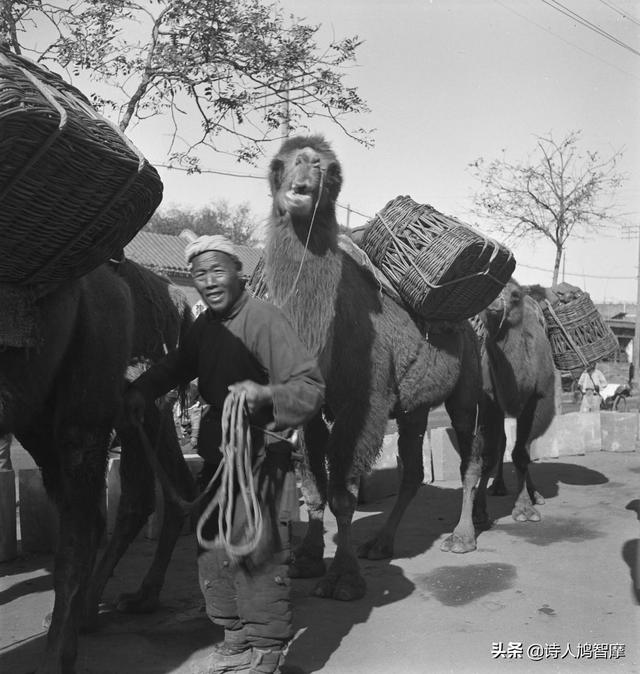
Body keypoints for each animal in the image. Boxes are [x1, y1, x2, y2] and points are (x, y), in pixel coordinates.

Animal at [262, 135, 492, 600]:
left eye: (332, 171)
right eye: (280, 163)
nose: (309, 167)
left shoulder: (363, 405)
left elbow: (344, 495)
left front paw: (344, 579)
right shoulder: (312, 410)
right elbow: (313, 489)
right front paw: (307, 560)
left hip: (467, 386)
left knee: (471, 454)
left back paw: (462, 536)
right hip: (414, 405)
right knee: (413, 470)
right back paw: (382, 543)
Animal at [476, 276, 556, 520]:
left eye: (514, 295)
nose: (493, 304)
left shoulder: (540, 400)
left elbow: (521, 453)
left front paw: (524, 508)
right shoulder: (490, 400)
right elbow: (490, 454)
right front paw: (479, 511)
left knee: (524, 447)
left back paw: (535, 494)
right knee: (503, 442)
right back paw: (498, 486)